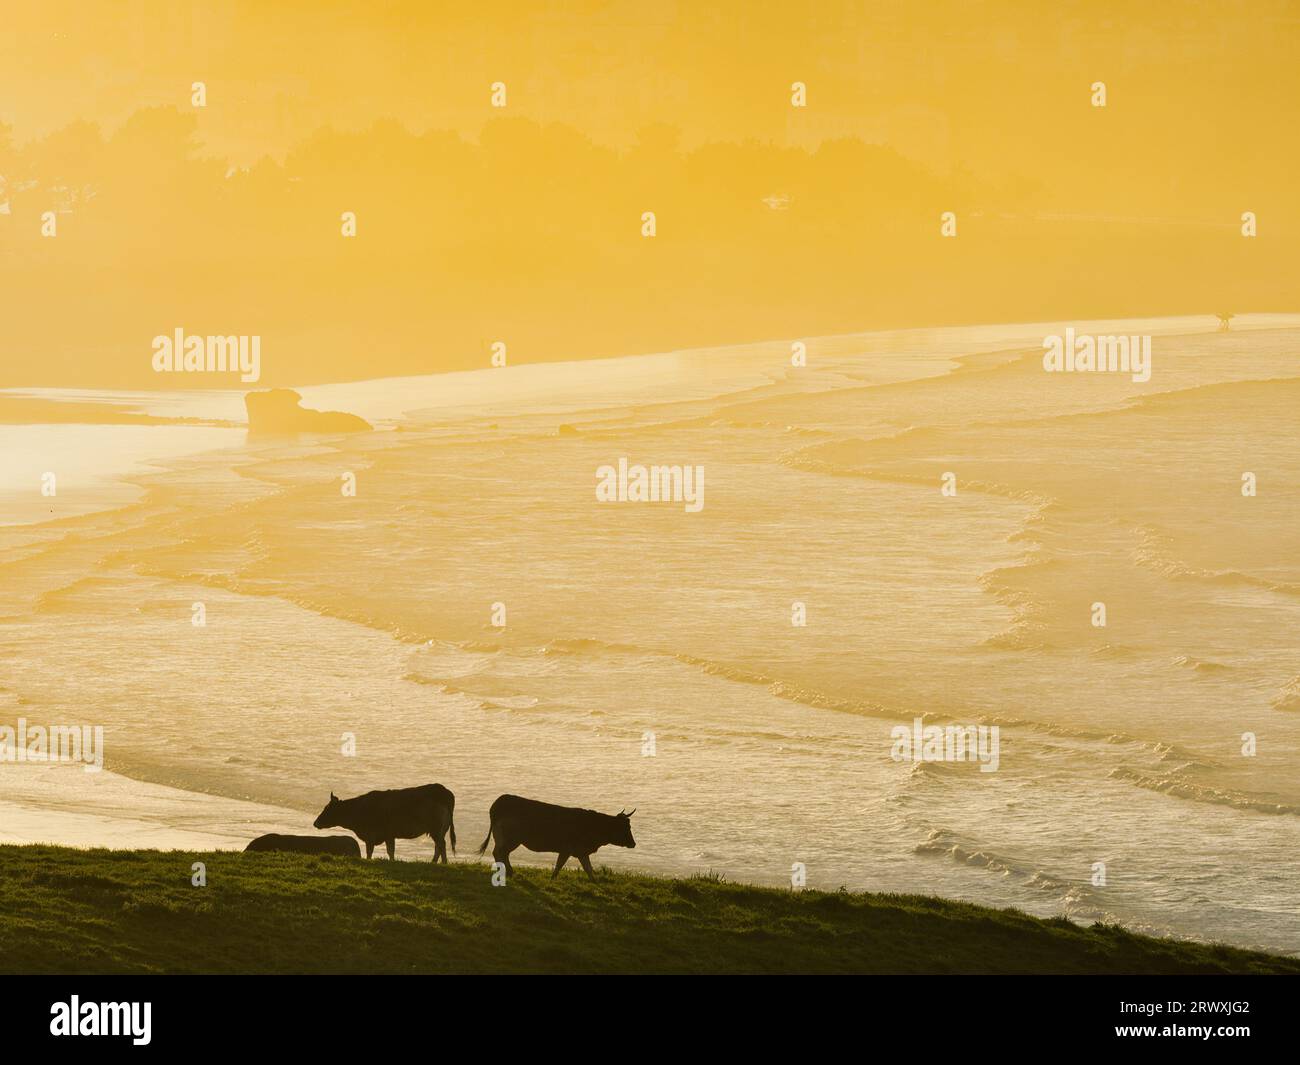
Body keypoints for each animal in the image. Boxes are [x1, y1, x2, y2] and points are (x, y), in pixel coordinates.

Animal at [313, 785, 457, 868]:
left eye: (327, 809)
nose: (315, 823)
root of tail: (444, 791)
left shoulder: (371, 834)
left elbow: (370, 851)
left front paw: (369, 861)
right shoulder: (389, 835)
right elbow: (390, 851)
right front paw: (392, 862)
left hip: (436, 828)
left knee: (441, 845)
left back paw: (444, 863)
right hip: (440, 830)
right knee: (438, 846)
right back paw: (434, 862)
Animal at [480, 790, 637, 884]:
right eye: (626, 828)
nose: (633, 844)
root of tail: (501, 801)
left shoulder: (581, 851)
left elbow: (588, 868)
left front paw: (595, 882)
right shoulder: (567, 849)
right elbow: (559, 865)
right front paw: (552, 879)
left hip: (505, 839)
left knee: (500, 853)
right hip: (511, 839)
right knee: (499, 853)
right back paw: (506, 872)